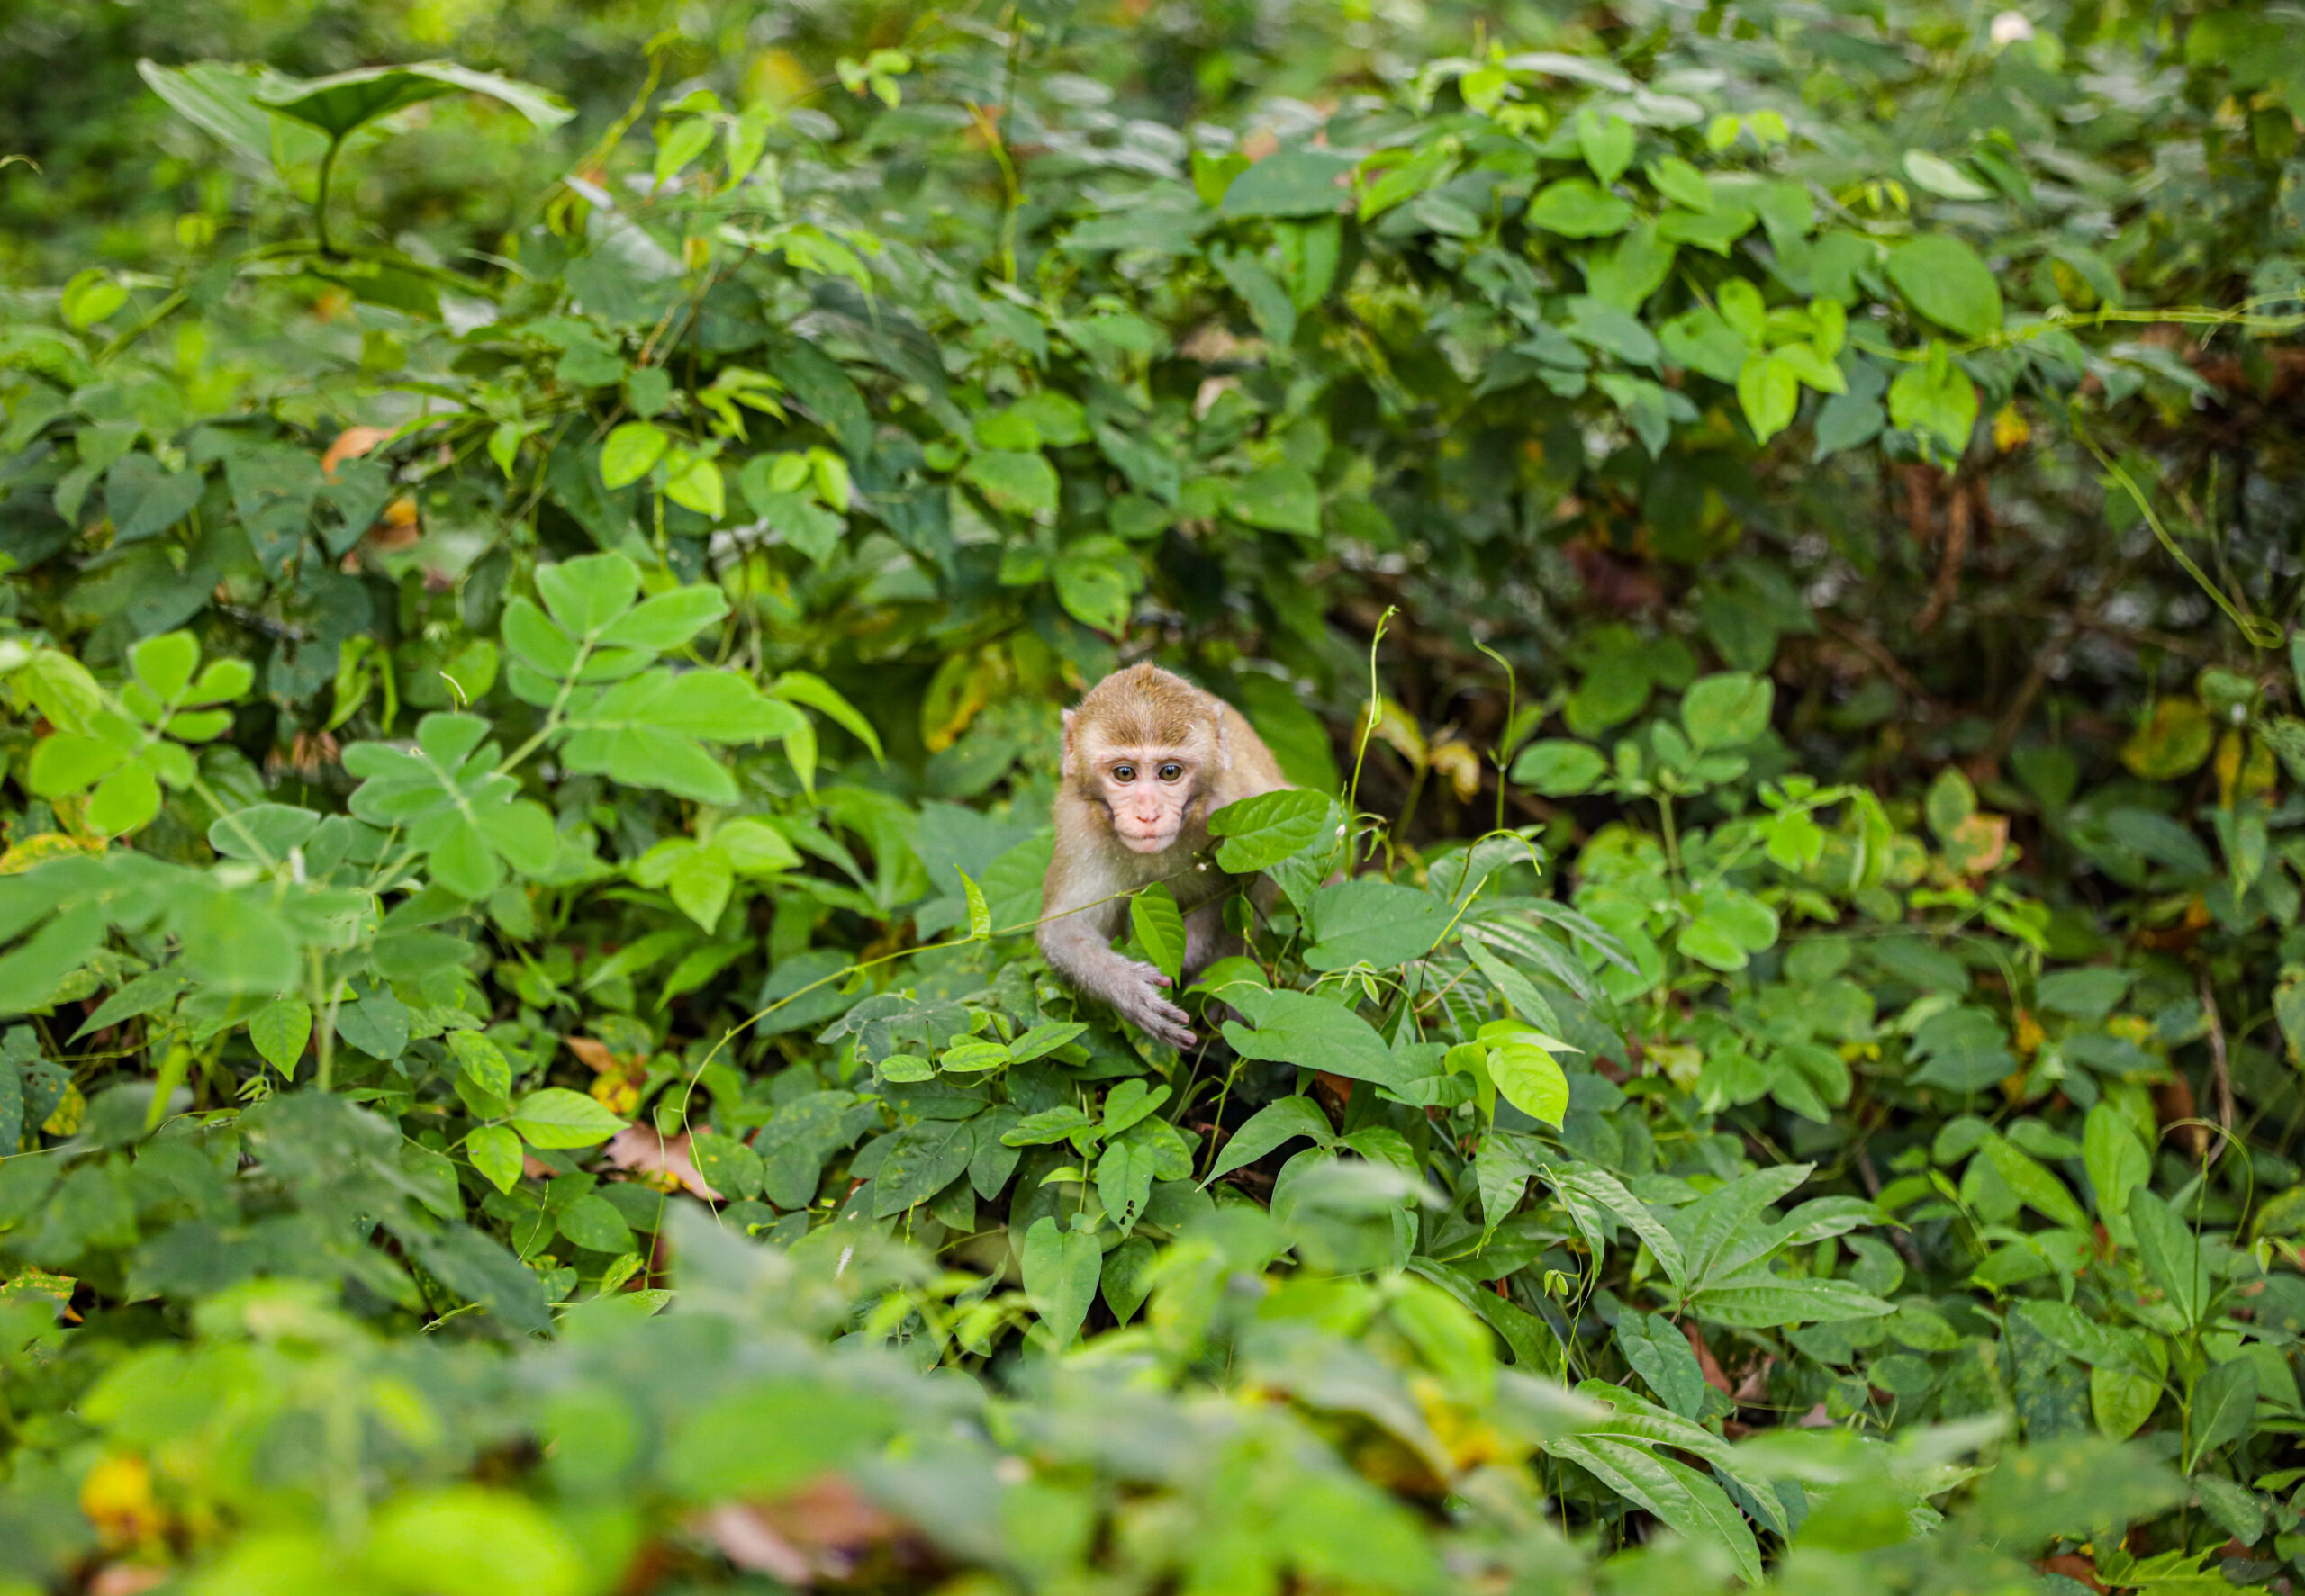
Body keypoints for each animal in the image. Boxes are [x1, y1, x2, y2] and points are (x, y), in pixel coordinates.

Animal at [1046, 658, 1299, 1045]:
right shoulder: (1080, 827)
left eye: (1169, 772)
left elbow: (1268, 874)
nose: (1148, 814)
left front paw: (1196, 961)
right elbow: (1063, 929)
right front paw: (1127, 988)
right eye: (1125, 773)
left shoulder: (1238, 801)